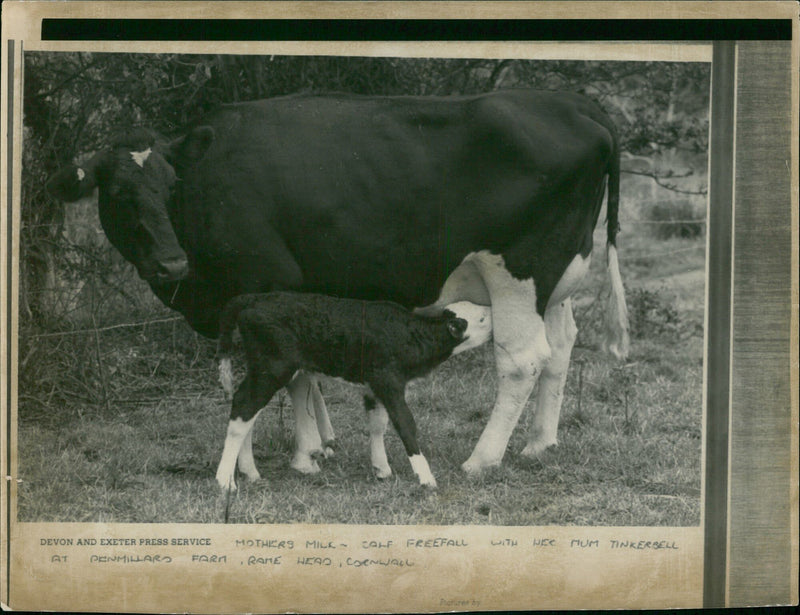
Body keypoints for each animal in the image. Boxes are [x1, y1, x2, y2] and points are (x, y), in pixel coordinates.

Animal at [212, 294, 490, 490]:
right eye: (481, 319)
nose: (493, 311)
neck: (410, 335)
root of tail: (253, 297)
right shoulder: (389, 381)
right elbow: (405, 424)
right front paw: (426, 478)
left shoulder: (374, 387)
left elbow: (378, 425)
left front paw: (381, 469)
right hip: (272, 368)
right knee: (243, 406)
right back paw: (225, 480)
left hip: (264, 370)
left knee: (247, 412)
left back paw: (250, 472)